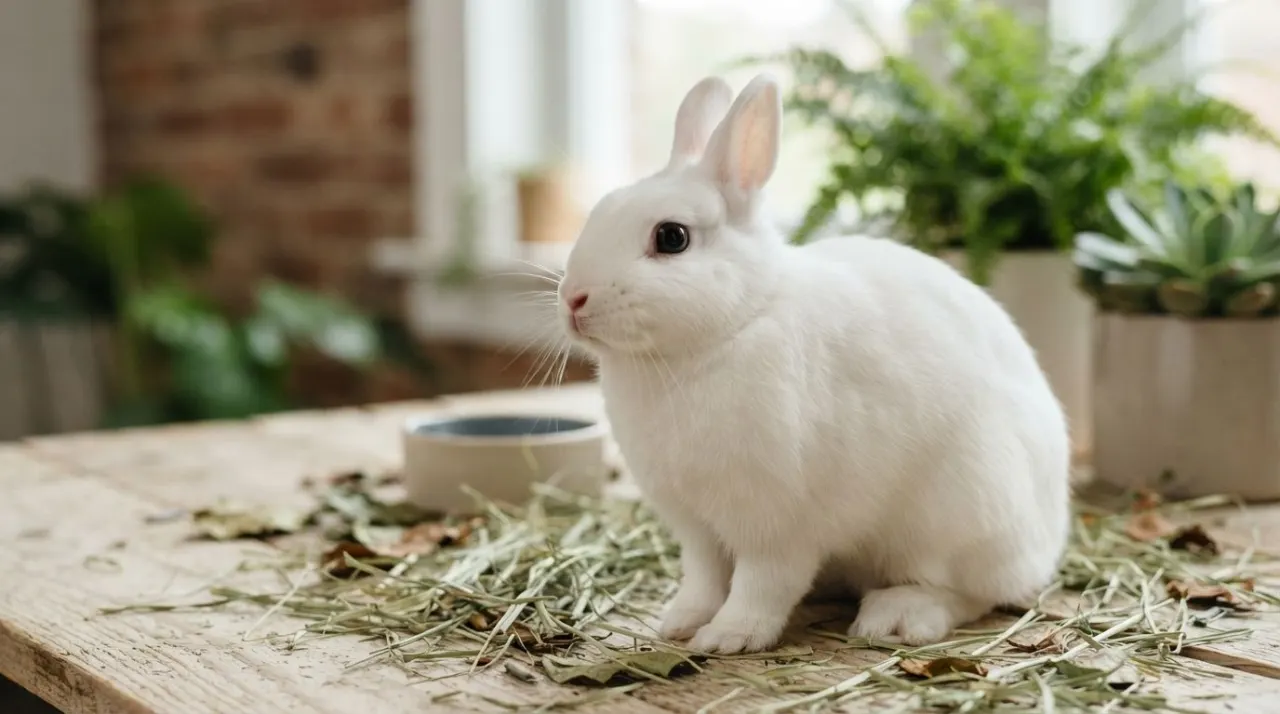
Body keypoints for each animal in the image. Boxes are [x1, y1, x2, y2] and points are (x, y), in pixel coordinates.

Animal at [554, 73, 1071, 654]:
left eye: (672, 237)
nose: (573, 299)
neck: (733, 326)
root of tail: (1048, 539)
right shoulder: (697, 528)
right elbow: (704, 577)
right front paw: (680, 622)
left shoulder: (777, 525)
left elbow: (762, 584)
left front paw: (728, 637)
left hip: (963, 514)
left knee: (969, 593)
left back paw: (896, 616)